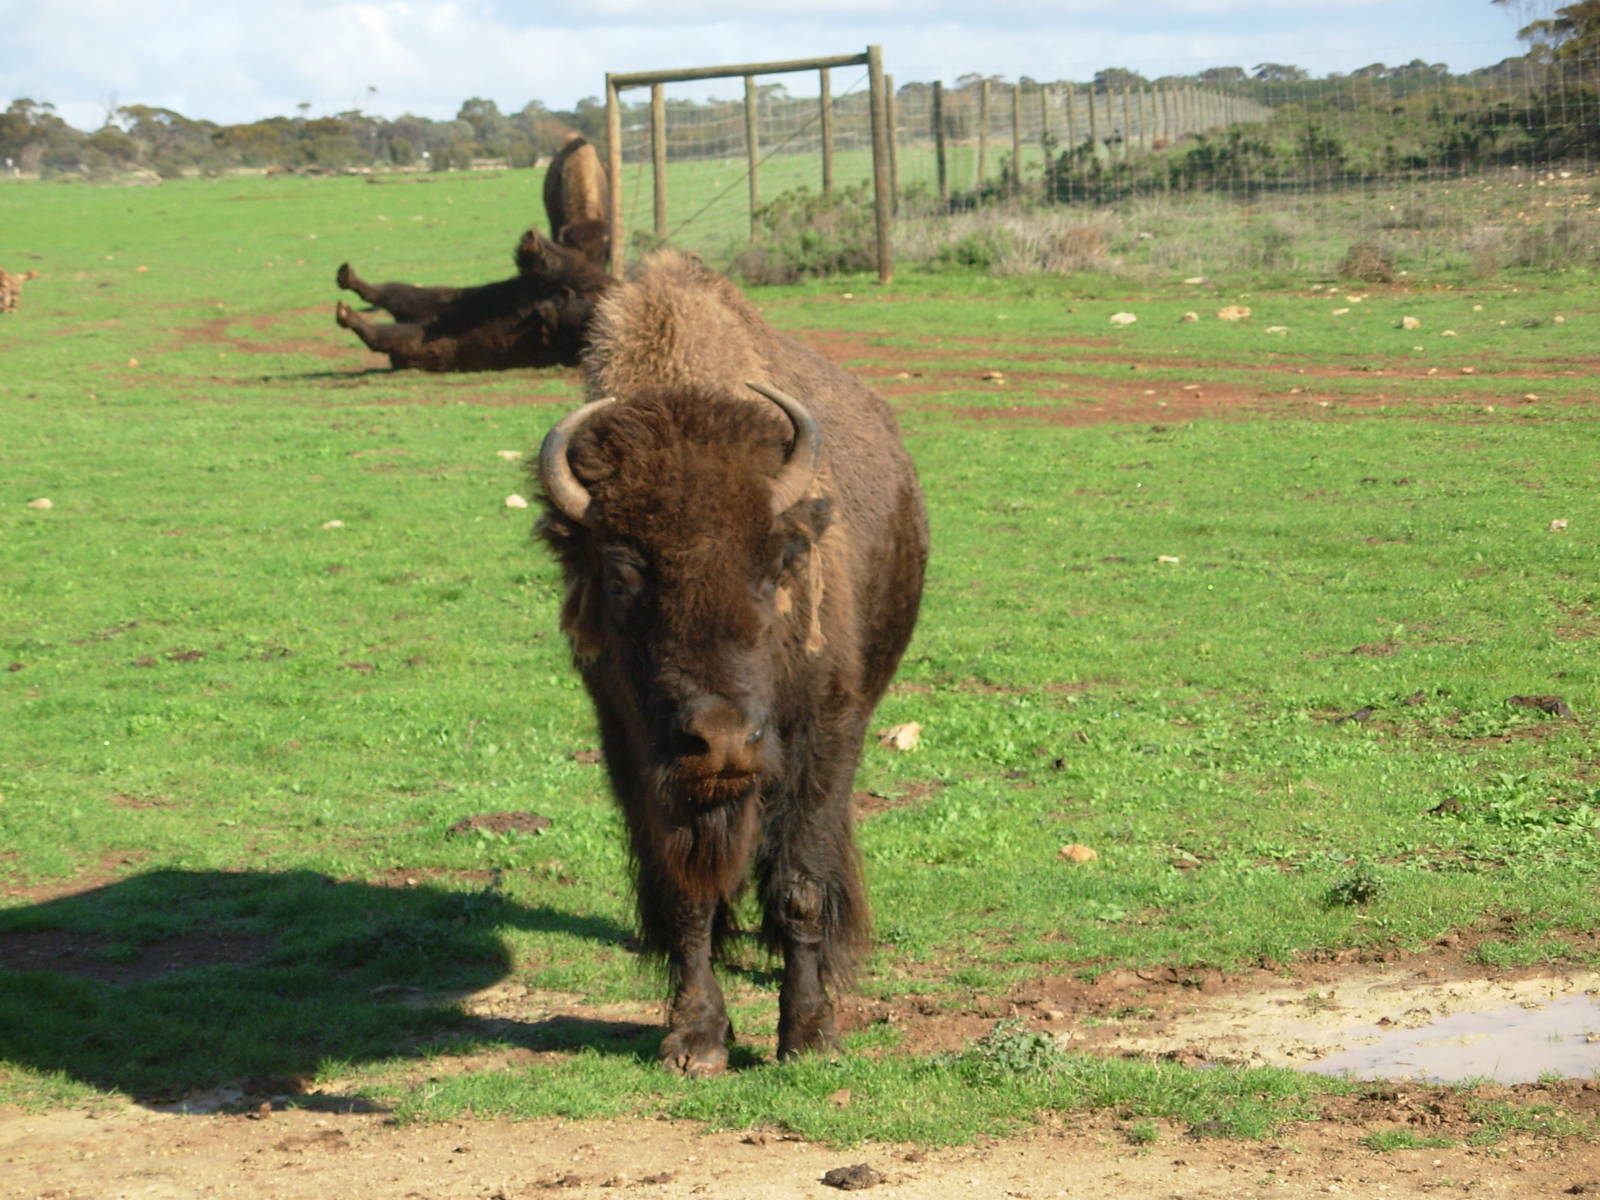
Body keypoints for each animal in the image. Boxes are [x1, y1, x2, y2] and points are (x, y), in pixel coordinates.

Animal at [534, 251, 928, 1074]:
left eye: (778, 564)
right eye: (622, 572)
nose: (720, 741)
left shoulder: (824, 732)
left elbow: (800, 881)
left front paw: (810, 1035)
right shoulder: (636, 753)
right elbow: (685, 896)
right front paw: (695, 1040)